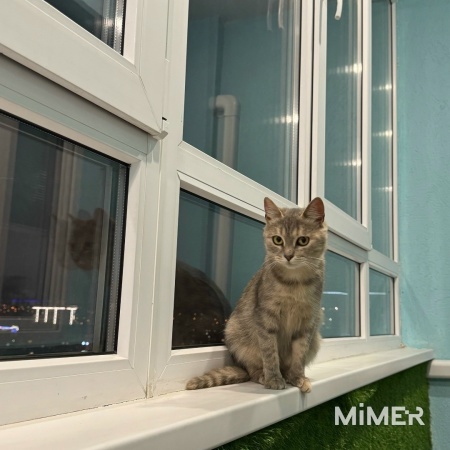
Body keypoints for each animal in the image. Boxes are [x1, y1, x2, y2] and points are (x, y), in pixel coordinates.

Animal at [186, 197, 327, 393]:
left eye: (303, 240)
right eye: (277, 240)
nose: (288, 256)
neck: (294, 283)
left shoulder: (307, 323)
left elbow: (299, 356)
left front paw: (298, 378)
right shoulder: (265, 319)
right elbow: (270, 353)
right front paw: (273, 379)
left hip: (316, 340)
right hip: (236, 335)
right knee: (252, 371)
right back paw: (263, 375)